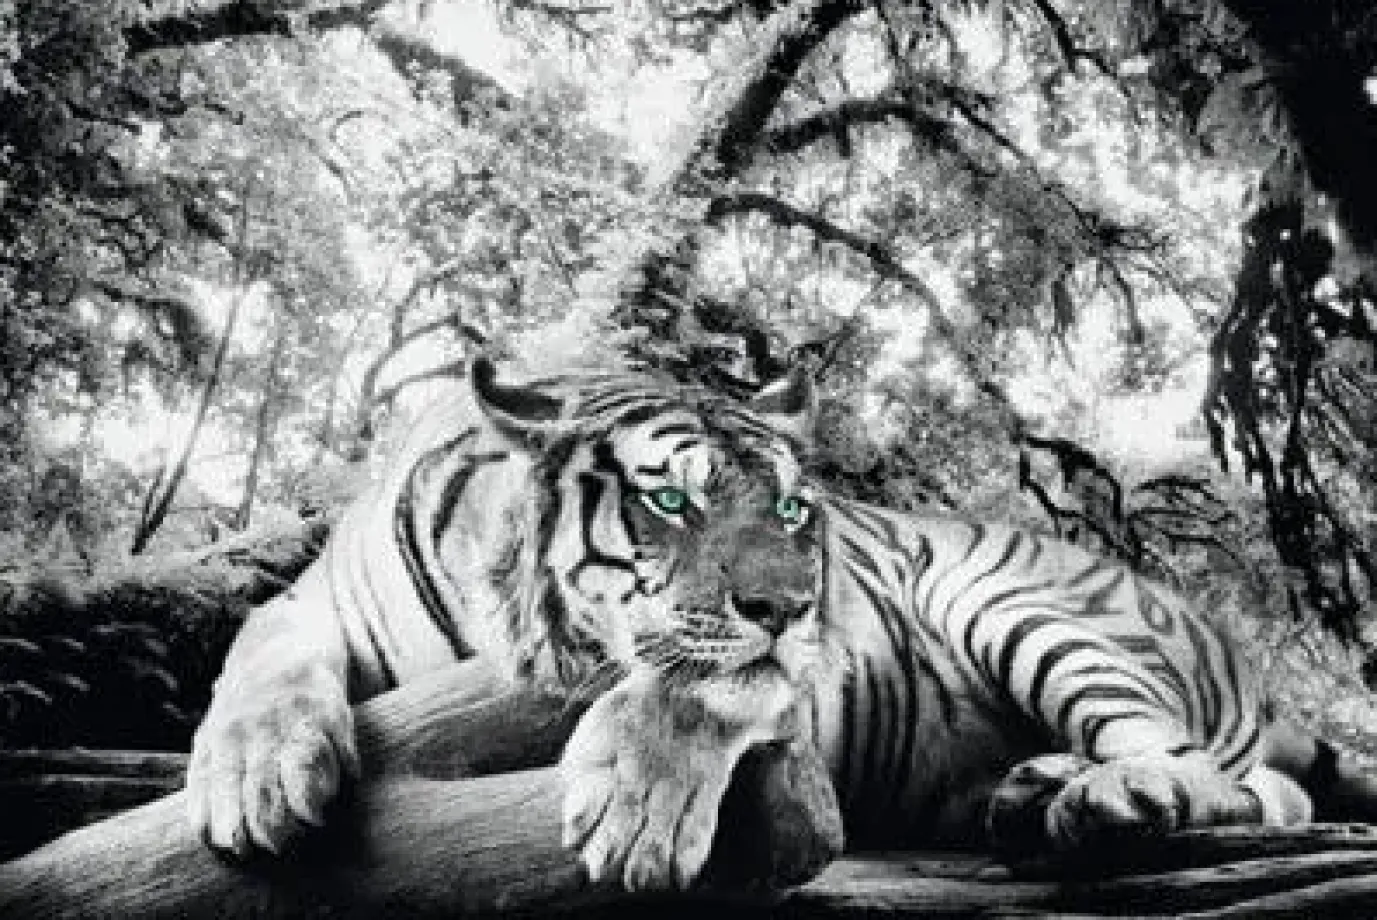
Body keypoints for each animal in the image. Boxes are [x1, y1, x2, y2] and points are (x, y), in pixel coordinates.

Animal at [186, 355, 1377, 891]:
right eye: (673, 500)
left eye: (796, 508)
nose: (795, 604)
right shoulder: (309, 602)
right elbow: (259, 653)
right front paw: (256, 778)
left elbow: (698, 683)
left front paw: (636, 810)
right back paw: (1030, 788)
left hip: (1025, 610)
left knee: (1216, 775)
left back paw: (1108, 796)